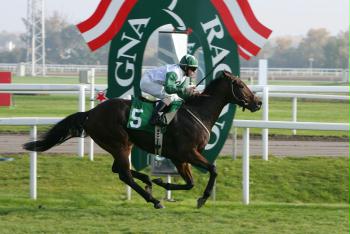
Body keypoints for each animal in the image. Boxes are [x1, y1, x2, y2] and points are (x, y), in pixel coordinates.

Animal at [23, 70, 262, 209]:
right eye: (241, 85)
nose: (258, 102)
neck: (197, 112)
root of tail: (90, 113)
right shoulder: (187, 153)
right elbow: (212, 169)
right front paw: (202, 198)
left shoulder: (179, 158)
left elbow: (190, 182)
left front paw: (160, 182)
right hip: (118, 143)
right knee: (124, 174)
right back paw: (154, 200)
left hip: (121, 144)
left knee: (118, 170)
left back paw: (148, 182)